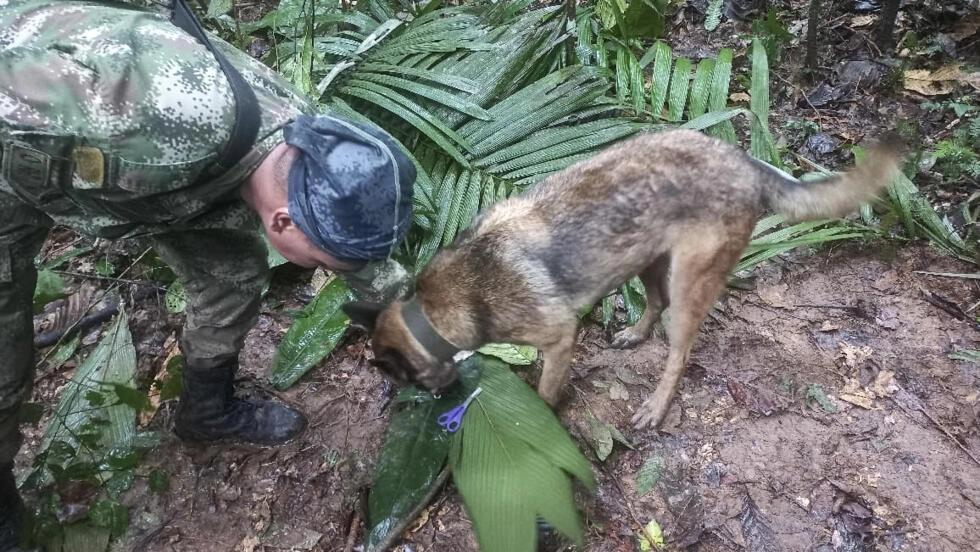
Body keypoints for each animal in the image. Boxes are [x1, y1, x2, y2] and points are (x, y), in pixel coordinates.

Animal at [344, 130, 904, 432]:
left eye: (404, 380)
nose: (441, 402)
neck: (434, 309)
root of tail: (744, 161)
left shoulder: (559, 337)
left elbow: (545, 391)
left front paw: (541, 417)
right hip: (645, 259)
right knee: (652, 304)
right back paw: (635, 333)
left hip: (688, 283)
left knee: (679, 351)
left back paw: (656, 405)